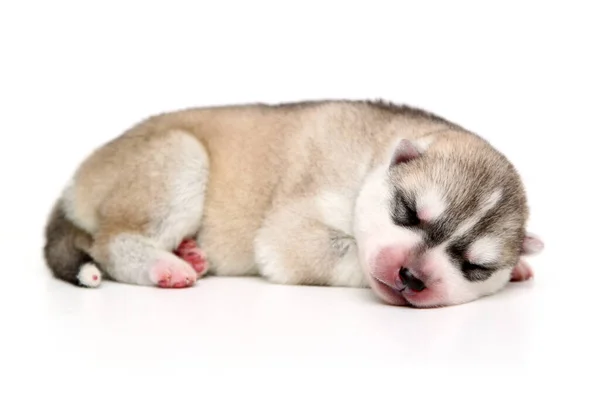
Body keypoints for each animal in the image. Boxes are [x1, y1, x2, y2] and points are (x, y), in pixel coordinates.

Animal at [44, 99, 544, 306]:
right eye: (408, 211)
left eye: (475, 267)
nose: (411, 276)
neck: (373, 156)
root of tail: (73, 181)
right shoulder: (291, 232)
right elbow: (339, 252)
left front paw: (519, 267)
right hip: (178, 159)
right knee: (112, 242)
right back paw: (164, 265)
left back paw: (189, 252)